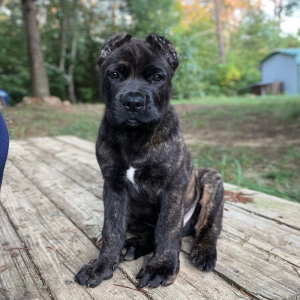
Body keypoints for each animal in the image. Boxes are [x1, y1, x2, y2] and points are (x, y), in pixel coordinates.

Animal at [75, 34, 224, 290]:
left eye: (157, 77)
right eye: (115, 74)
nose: (133, 102)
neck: (135, 136)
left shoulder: (173, 187)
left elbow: (167, 228)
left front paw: (161, 267)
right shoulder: (114, 186)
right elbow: (112, 228)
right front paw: (102, 264)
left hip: (210, 178)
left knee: (205, 225)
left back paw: (203, 251)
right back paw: (132, 245)